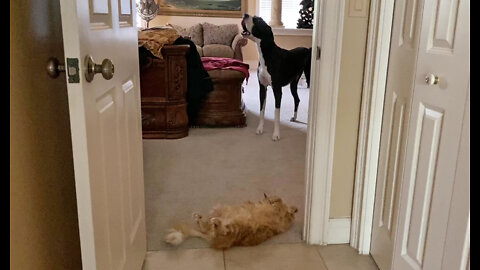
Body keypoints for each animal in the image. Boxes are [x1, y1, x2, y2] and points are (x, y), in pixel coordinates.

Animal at [167, 194, 298, 249]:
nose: (266, 200)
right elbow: (282, 206)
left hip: (234, 228)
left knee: (215, 228)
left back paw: (206, 220)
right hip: (222, 213)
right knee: (211, 226)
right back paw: (202, 218)